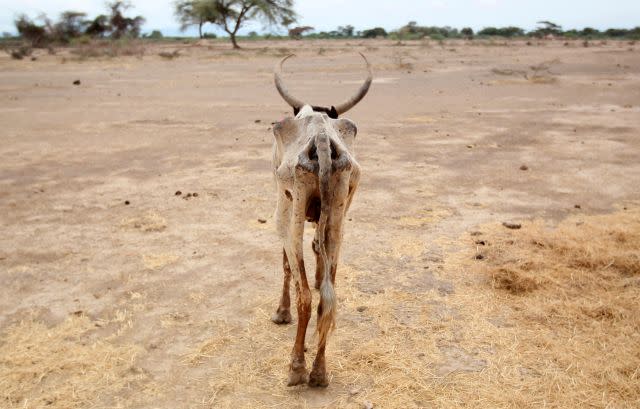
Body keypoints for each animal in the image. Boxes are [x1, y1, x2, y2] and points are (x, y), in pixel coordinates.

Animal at [268, 51, 372, 386]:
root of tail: (323, 138)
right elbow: (318, 250)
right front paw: (317, 276)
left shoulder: (284, 208)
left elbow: (286, 265)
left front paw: (281, 312)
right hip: (340, 211)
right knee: (329, 296)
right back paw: (320, 372)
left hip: (291, 213)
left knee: (304, 295)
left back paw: (298, 368)